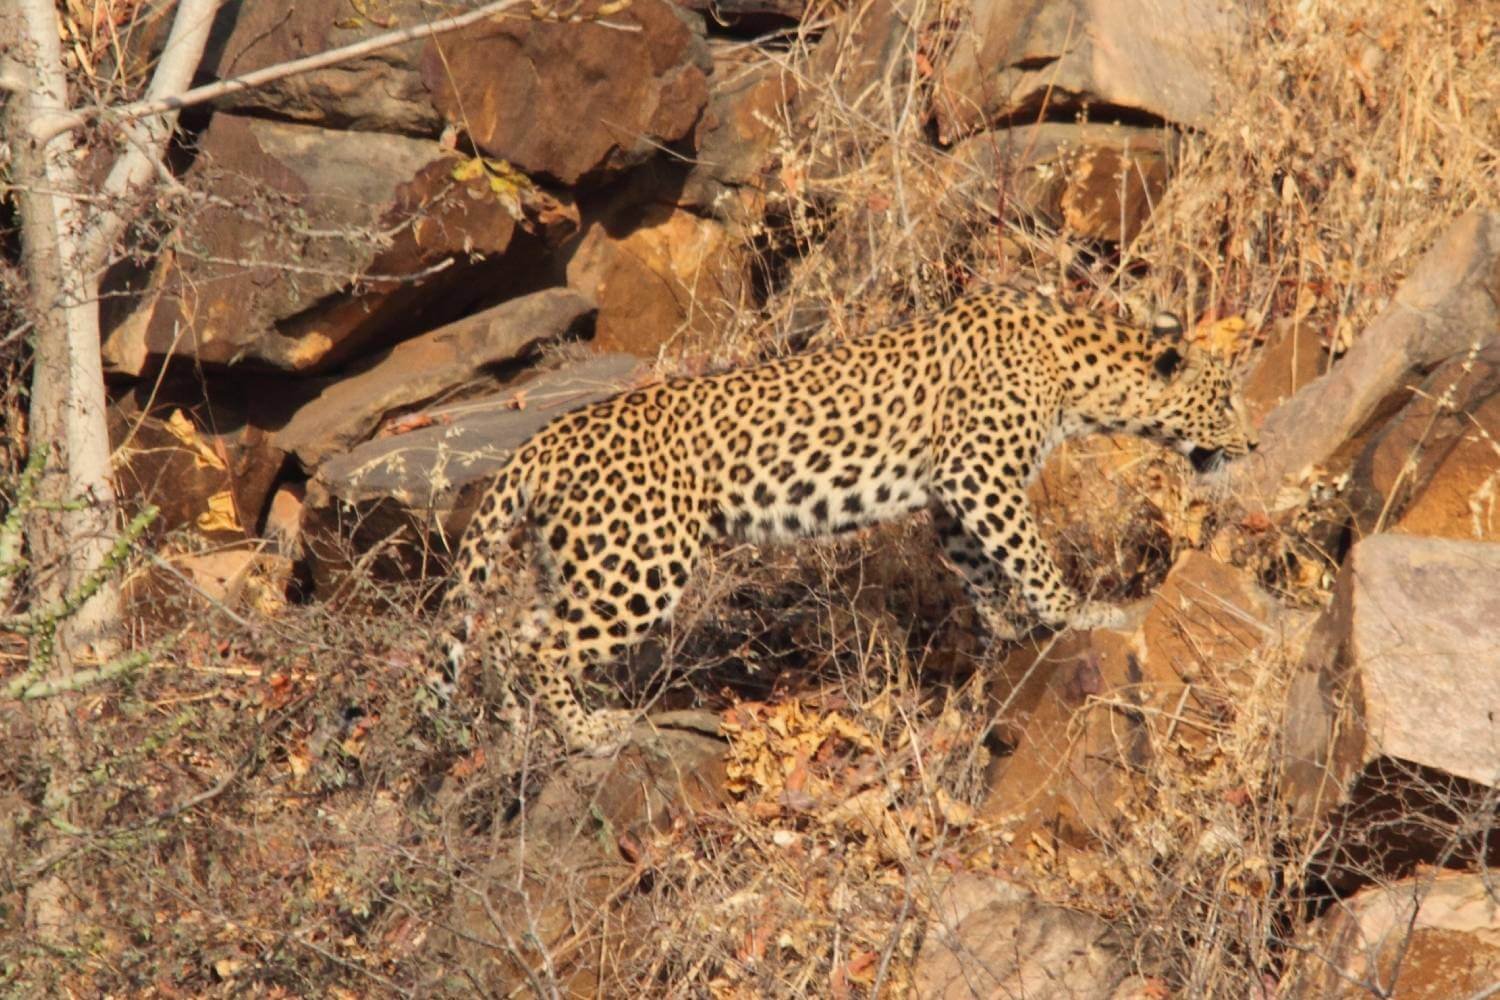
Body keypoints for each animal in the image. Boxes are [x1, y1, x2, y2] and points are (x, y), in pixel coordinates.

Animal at [441, 284, 1254, 755]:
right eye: (1224, 397)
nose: (1250, 444)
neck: (1078, 375)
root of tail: (543, 441)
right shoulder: (979, 473)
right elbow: (1031, 556)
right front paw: (1085, 613)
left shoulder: (953, 498)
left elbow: (983, 572)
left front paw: (1010, 630)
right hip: (637, 565)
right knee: (542, 646)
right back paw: (586, 734)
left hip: (578, 562)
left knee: (507, 633)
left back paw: (517, 730)